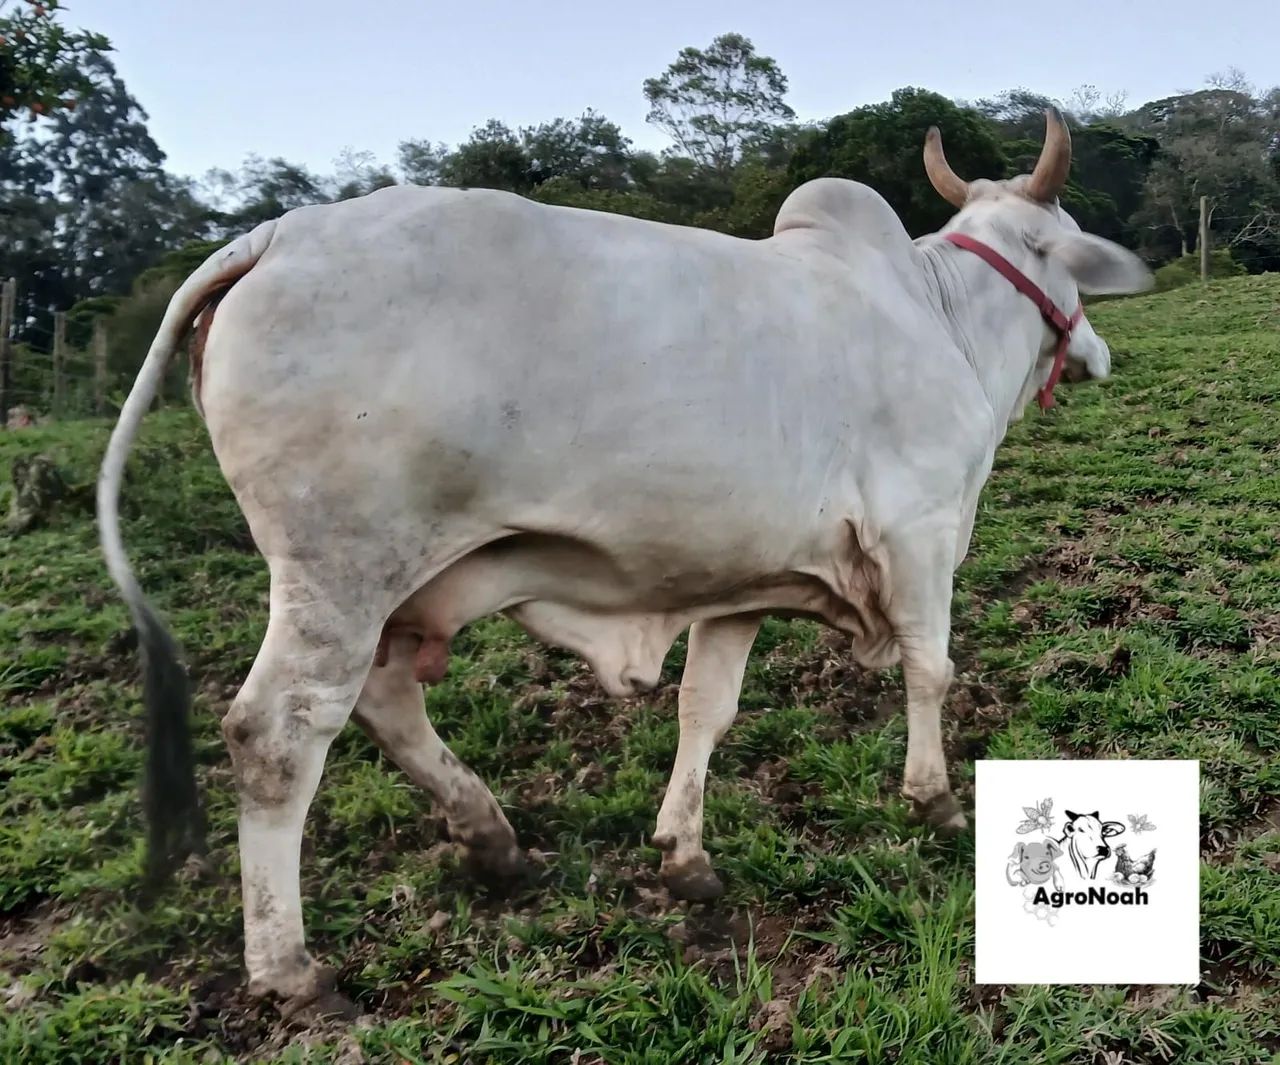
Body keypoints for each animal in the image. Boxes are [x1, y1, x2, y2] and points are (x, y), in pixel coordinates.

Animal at [97, 108, 1152, 1015]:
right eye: (1067, 245)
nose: (1099, 352)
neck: (944, 317)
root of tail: (272, 235)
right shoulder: (922, 533)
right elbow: (931, 669)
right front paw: (934, 802)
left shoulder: (744, 582)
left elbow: (704, 708)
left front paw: (684, 854)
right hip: (342, 568)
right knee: (277, 734)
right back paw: (289, 967)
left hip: (388, 582)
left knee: (385, 701)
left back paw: (493, 839)